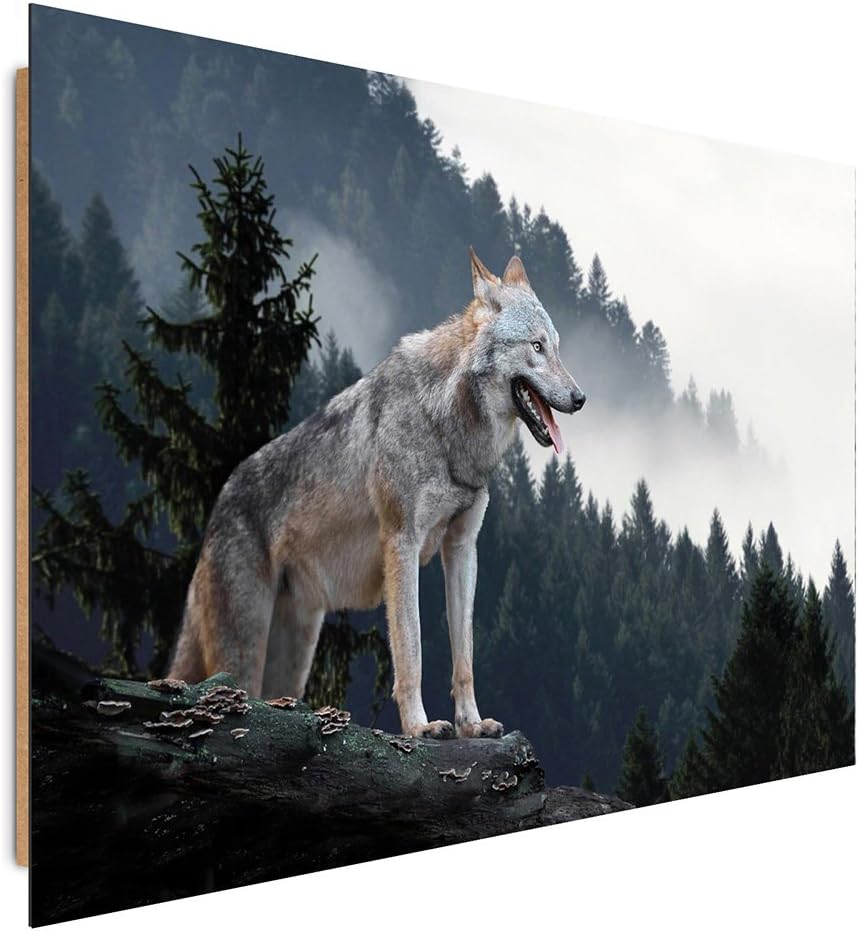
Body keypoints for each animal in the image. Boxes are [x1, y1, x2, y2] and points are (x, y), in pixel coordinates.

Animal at [169, 248, 585, 738]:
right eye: (536, 347)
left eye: (556, 346)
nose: (580, 398)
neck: (446, 425)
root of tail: (219, 504)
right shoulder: (401, 543)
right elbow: (412, 652)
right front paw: (420, 727)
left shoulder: (462, 548)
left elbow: (464, 657)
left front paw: (471, 724)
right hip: (244, 652)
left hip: (294, 658)